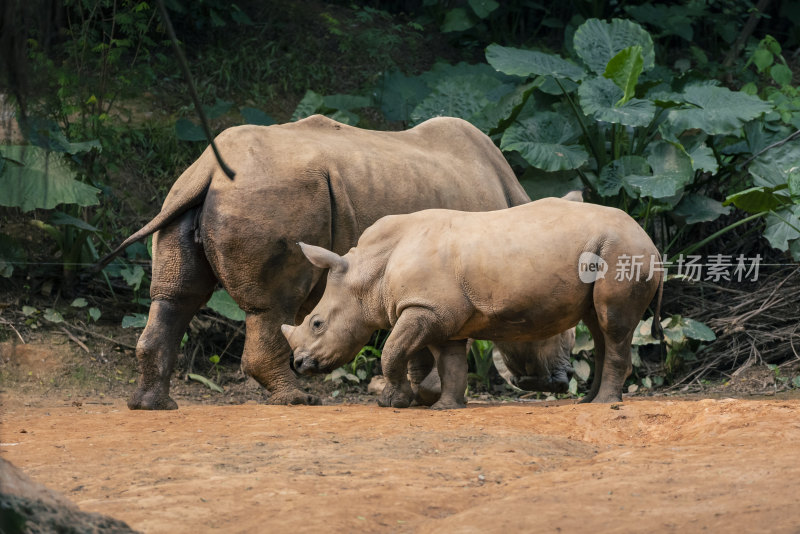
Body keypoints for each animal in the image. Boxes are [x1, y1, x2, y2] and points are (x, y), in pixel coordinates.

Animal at [282, 199, 664, 408]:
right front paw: (445, 407)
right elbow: (450, 363)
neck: (368, 274)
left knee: (612, 326)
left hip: (620, 250)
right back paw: (588, 402)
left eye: (316, 323)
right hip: (607, 249)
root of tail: (650, 240)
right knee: (598, 327)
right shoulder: (439, 315)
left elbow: (392, 351)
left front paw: (392, 403)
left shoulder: (424, 309)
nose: (298, 364)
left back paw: (604, 404)